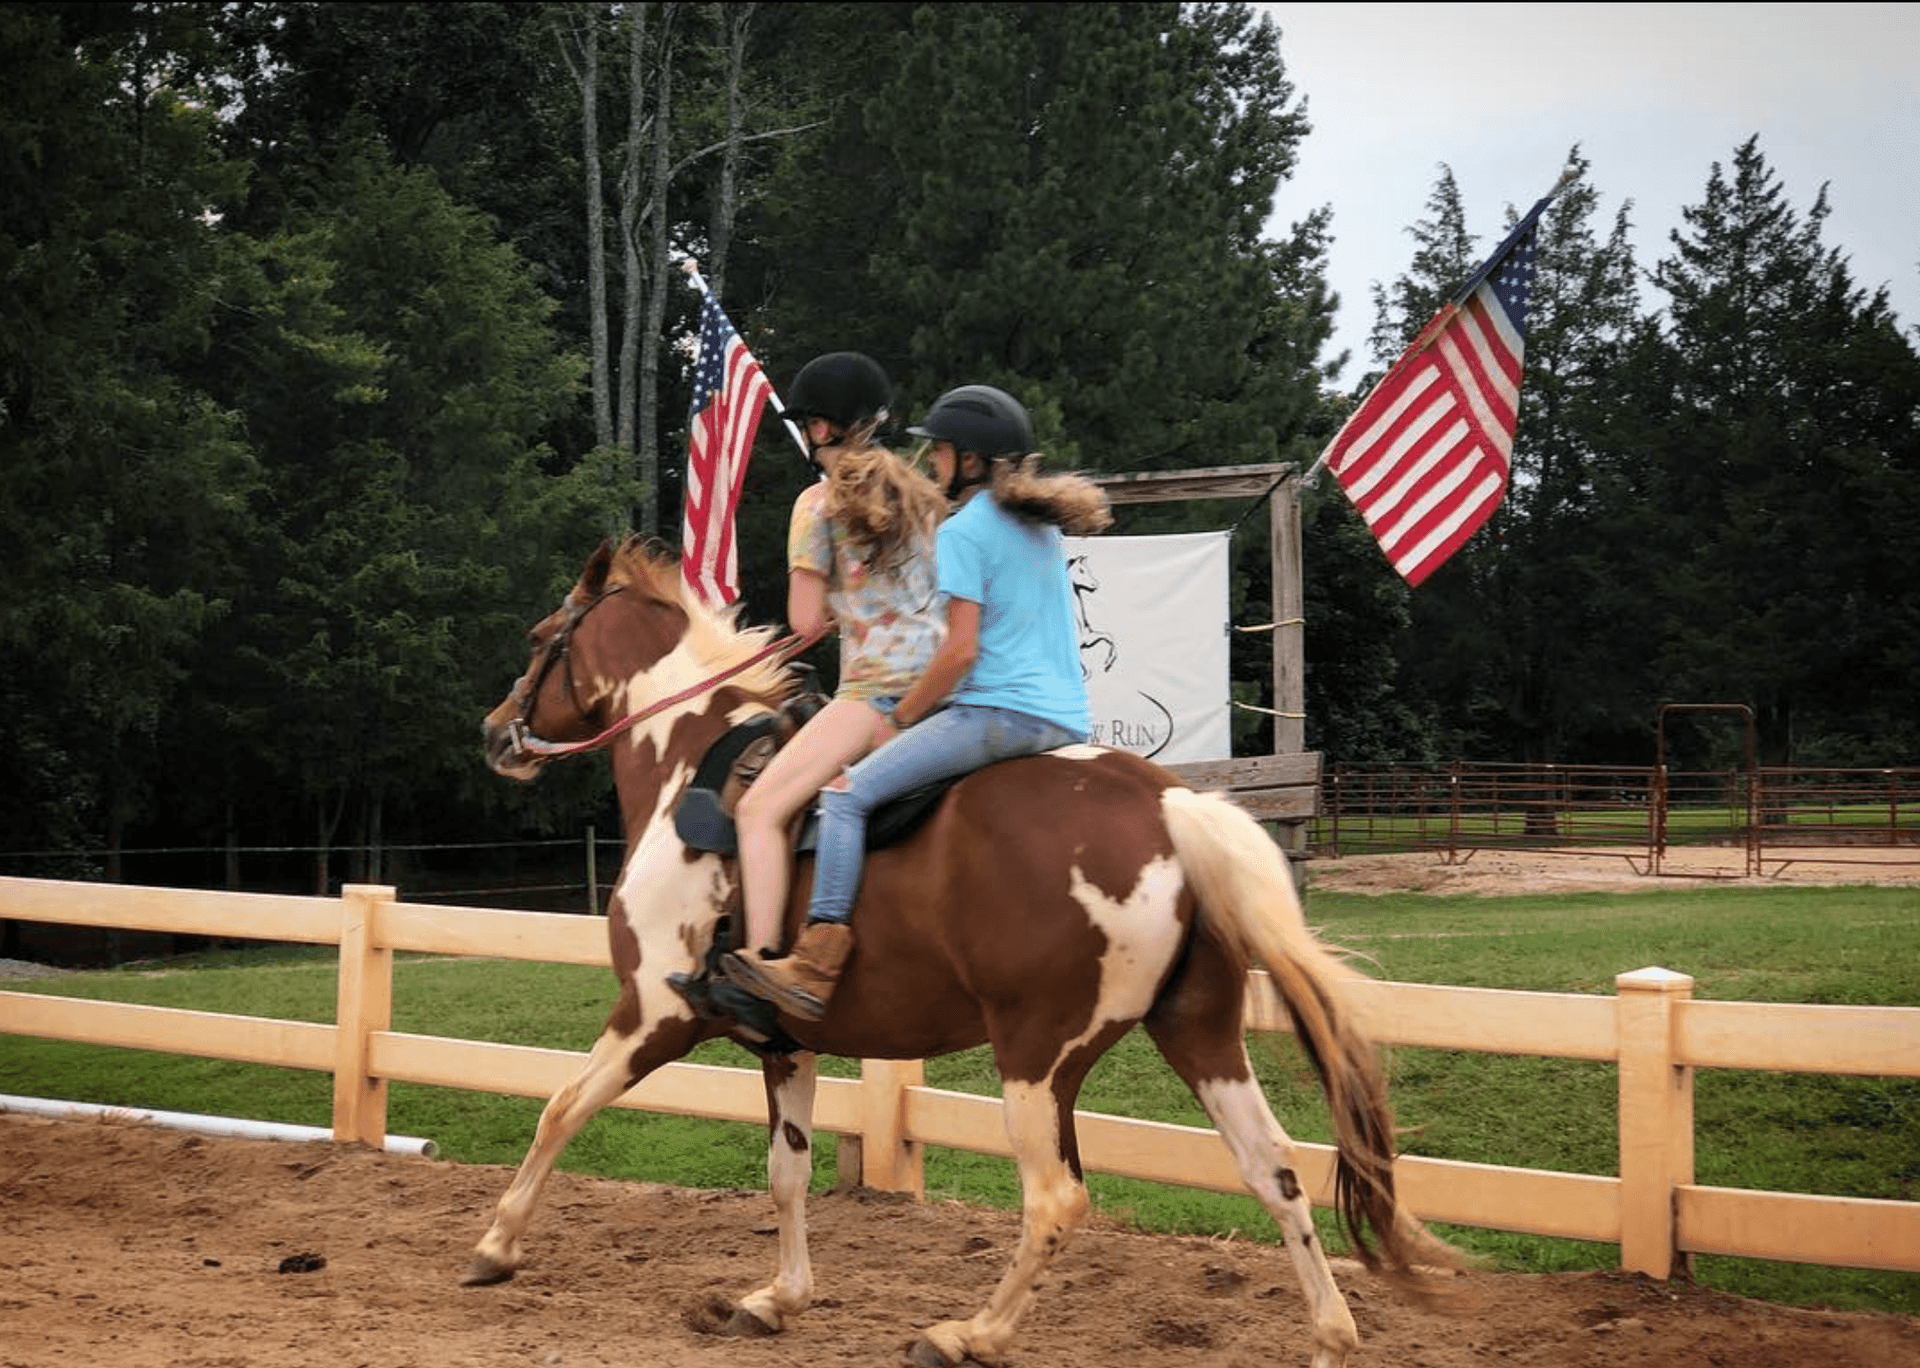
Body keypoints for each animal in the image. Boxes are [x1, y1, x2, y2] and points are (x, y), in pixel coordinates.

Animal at [468, 537, 1451, 1360]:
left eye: (541, 637)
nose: (494, 732)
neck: (692, 767)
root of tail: (1166, 806)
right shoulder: (785, 1043)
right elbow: (788, 1172)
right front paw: (777, 1300)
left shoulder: (655, 1014)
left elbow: (560, 1108)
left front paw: (495, 1247)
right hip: (1200, 1036)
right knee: (1275, 1169)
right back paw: (1331, 1334)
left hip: (1038, 1060)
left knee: (1057, 1200)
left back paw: (968, 1334)